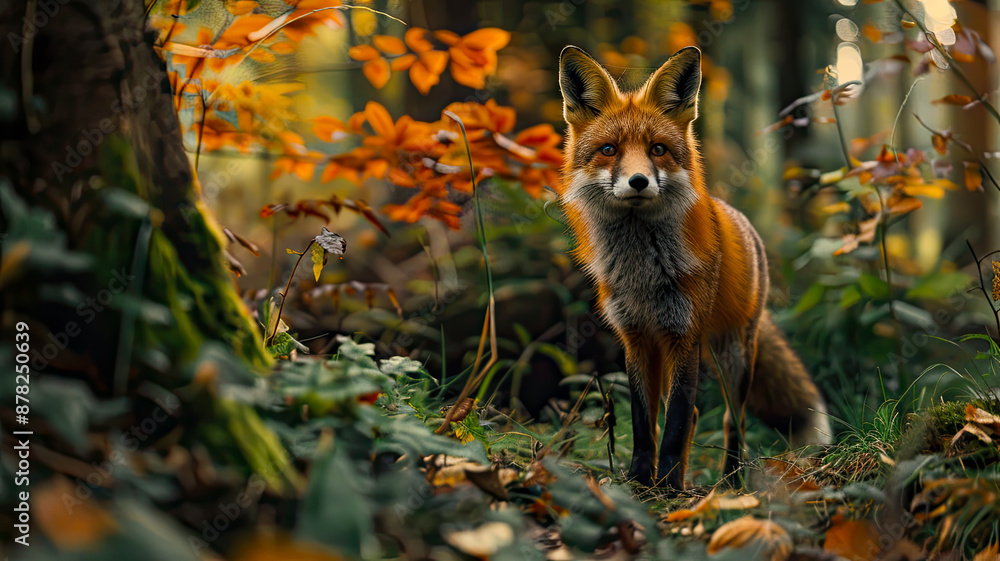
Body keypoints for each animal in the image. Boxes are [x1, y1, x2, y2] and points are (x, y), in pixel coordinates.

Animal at [556, 45, 831, 488]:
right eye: (609, 150)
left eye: (657, 149)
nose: (638, 181)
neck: (643, 271)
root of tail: (739, 219)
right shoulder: (637, 338)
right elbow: (646, 422)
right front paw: (640, 481)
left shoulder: (683, 334)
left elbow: (676, 422)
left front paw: (668, 486)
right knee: (700, 415)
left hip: (733, 354)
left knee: (732, 422)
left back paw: (731, 484)